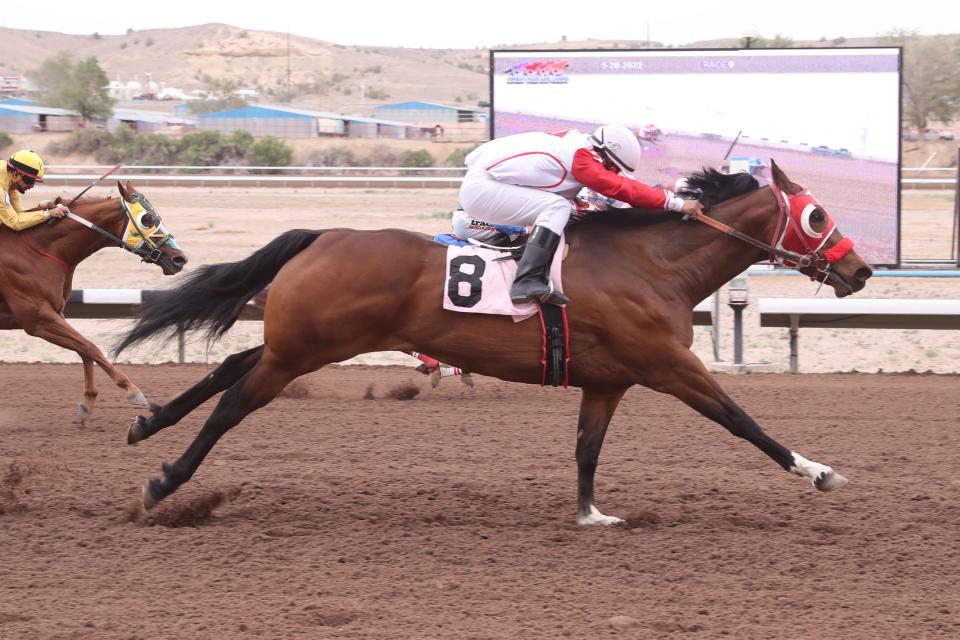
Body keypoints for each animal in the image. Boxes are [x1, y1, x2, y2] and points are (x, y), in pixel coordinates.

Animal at [0, 180, 187, 422]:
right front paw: (133, 390)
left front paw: (88, 402)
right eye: (147, 219)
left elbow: (84, 349)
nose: (179, 259)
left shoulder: (56, 313)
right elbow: (91, 347)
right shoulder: (38, 319)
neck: (36, 250)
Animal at [116, 162, 872, 524]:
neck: (652, 263)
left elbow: (586, 450)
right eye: (816, 216)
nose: (861, 270)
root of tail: (323, 235)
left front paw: (591, 514)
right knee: (233, 402)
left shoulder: (608, 381)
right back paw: (162, 482)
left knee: (229, 367)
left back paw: (148, 424)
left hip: (299, 342)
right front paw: (817, 471)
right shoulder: (670, 365)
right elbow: (743, 421)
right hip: (303, 349)